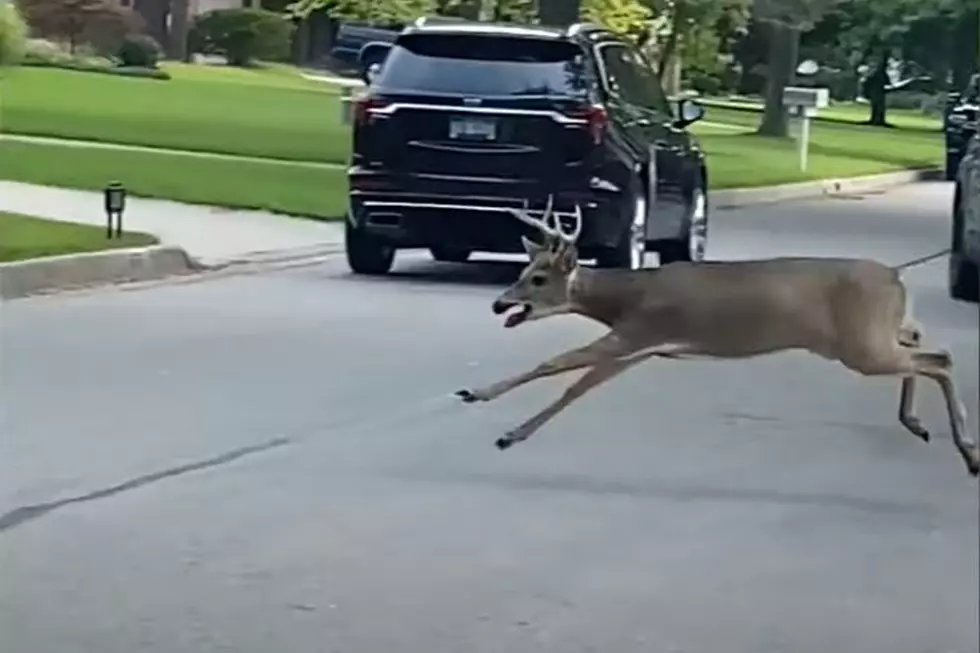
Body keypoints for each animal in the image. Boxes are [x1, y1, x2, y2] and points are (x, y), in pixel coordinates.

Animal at [458, 192, 980, 474]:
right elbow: (576, 388)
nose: (499, 303)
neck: (629, 296)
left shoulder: (636, 333)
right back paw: (918, 424)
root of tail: (897, 274)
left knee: (940, 358)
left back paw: (966, 450)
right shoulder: (638, 348)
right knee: (921, 342)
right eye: (523, 270)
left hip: (860, 344)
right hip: (870, 334)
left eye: (537, 278)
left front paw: (480, 399)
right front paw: (511, 431)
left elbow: (558, 366)